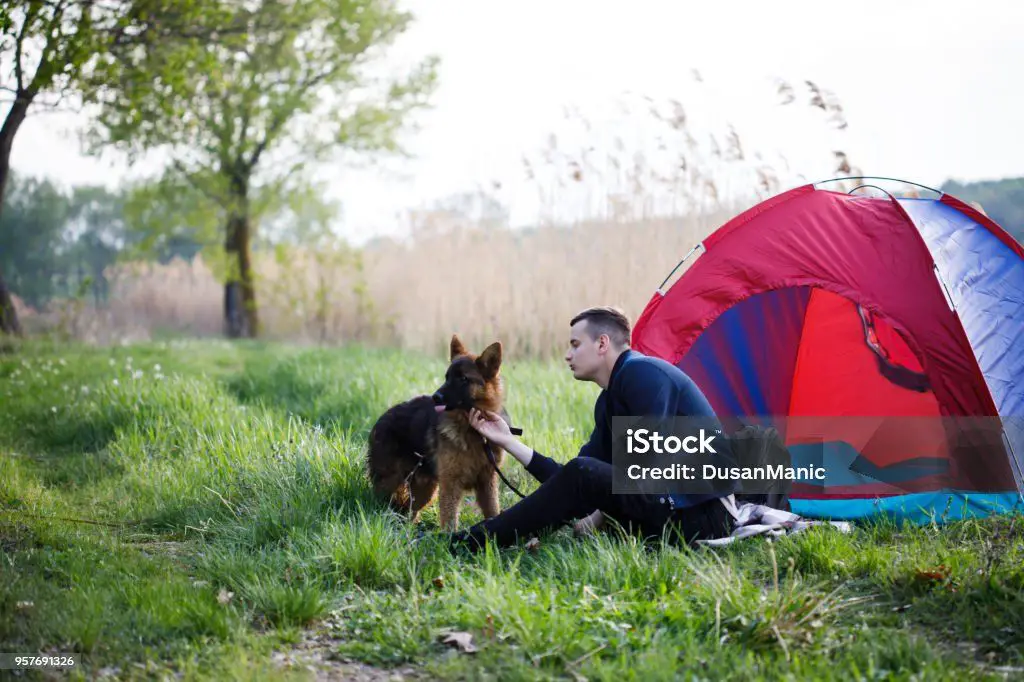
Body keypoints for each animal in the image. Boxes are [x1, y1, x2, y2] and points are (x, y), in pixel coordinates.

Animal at [368, 333, 512, 532]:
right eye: (447, 377)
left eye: (463, 379)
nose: (436, 397)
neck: (472, 432)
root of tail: (382, 418)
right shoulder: (451, 484)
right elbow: (450, 519)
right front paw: (449, 538)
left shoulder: (487, 482)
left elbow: (492, 511)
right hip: (390, 484)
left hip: (426, 489)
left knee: (411, 512)